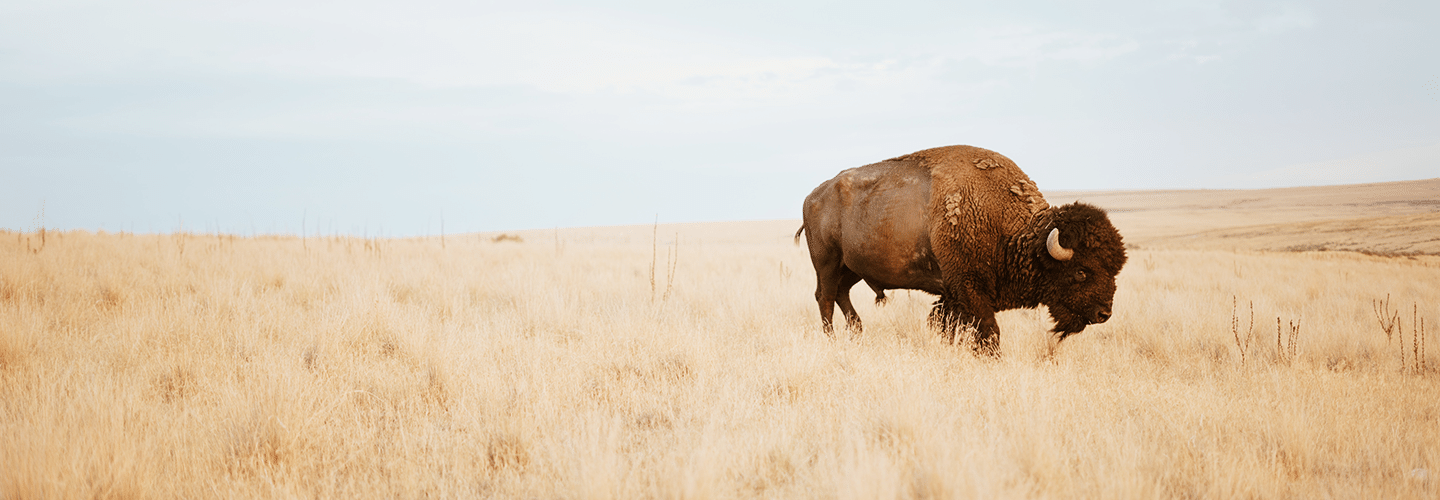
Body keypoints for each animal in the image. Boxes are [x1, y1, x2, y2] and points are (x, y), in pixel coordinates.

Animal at [800, 144, 1123, 355]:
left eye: (1115, 270)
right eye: (1081, 271)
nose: (1103, 313)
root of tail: (812, 196)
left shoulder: (953, 295)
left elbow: (948, 326)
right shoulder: (969, 288)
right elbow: (988, 330)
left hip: (852, 267)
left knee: (841, 294)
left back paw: (857, 331)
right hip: (827, 263)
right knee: (825, 298)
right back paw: (832, 340)